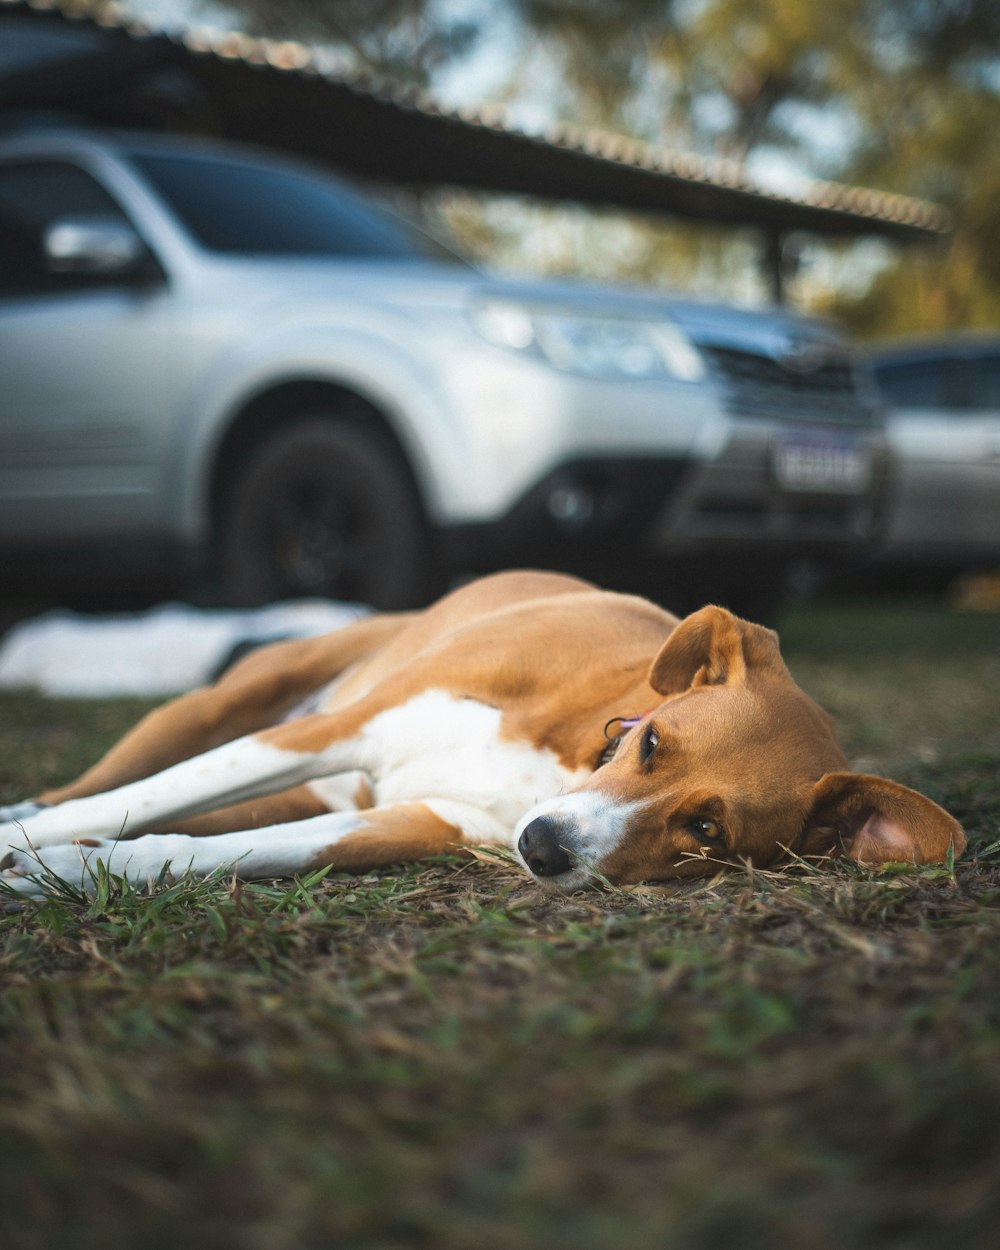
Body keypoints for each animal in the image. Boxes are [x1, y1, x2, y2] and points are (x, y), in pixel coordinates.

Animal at [0, 572, 970, 895]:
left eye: (705, 829)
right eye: (651, 743)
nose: (543, 848)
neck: (566, 756)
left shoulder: (413, 819)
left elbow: (218, 850)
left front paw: (71, 871)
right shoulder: (340, 729)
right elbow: (129, 802)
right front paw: (33, 849)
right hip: (218, 711)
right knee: (85, 788)